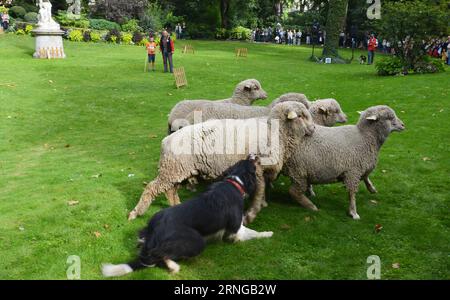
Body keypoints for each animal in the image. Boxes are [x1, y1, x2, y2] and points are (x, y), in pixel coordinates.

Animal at [102, 155, 272, 276]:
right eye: (252, 163)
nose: (254, 154)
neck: (235, 182)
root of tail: (154, 230)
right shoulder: (236, 229)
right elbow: (253, 233)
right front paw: (268, 233)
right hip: (196, 241)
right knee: (159, 254)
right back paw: (174, 266)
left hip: (146, 232)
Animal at [128, 101, 314, 223]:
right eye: (302, 116)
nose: (313, 129)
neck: (276, 131)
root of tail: (166, 140)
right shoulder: (258, 169)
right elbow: (259, 192)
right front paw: (251, 213)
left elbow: (261, 191)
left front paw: (261, 204)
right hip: (172, 169)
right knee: (152, 188)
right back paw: (136, 212)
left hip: (179, 170)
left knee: (170, 190)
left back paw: (176, 206)